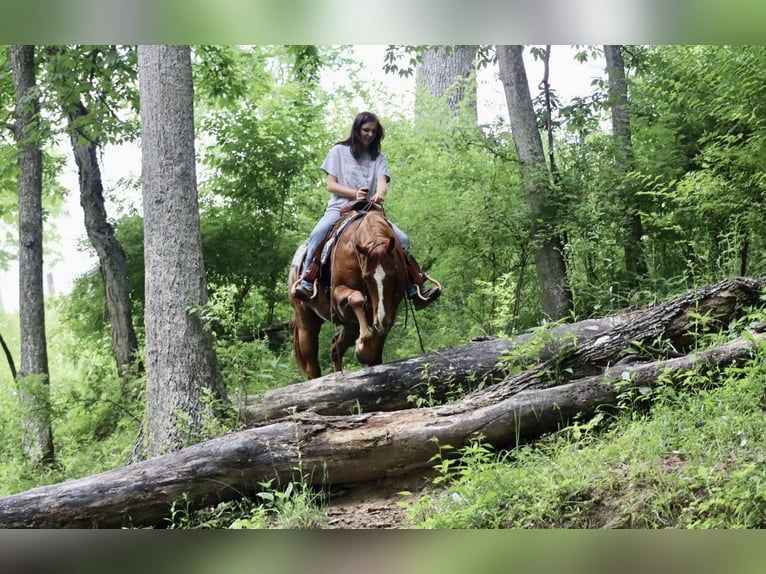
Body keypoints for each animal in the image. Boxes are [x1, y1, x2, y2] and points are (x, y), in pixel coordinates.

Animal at [288, 205, 408, 380]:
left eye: (394, 272)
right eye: (366, 277)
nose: (380, 321)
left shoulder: (390, 307)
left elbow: (377, 352)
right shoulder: (337, 294)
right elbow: (357, 299)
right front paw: (363, 348)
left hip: (350, 325)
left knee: (335, 347)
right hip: (305, 320)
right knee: (312, 365)